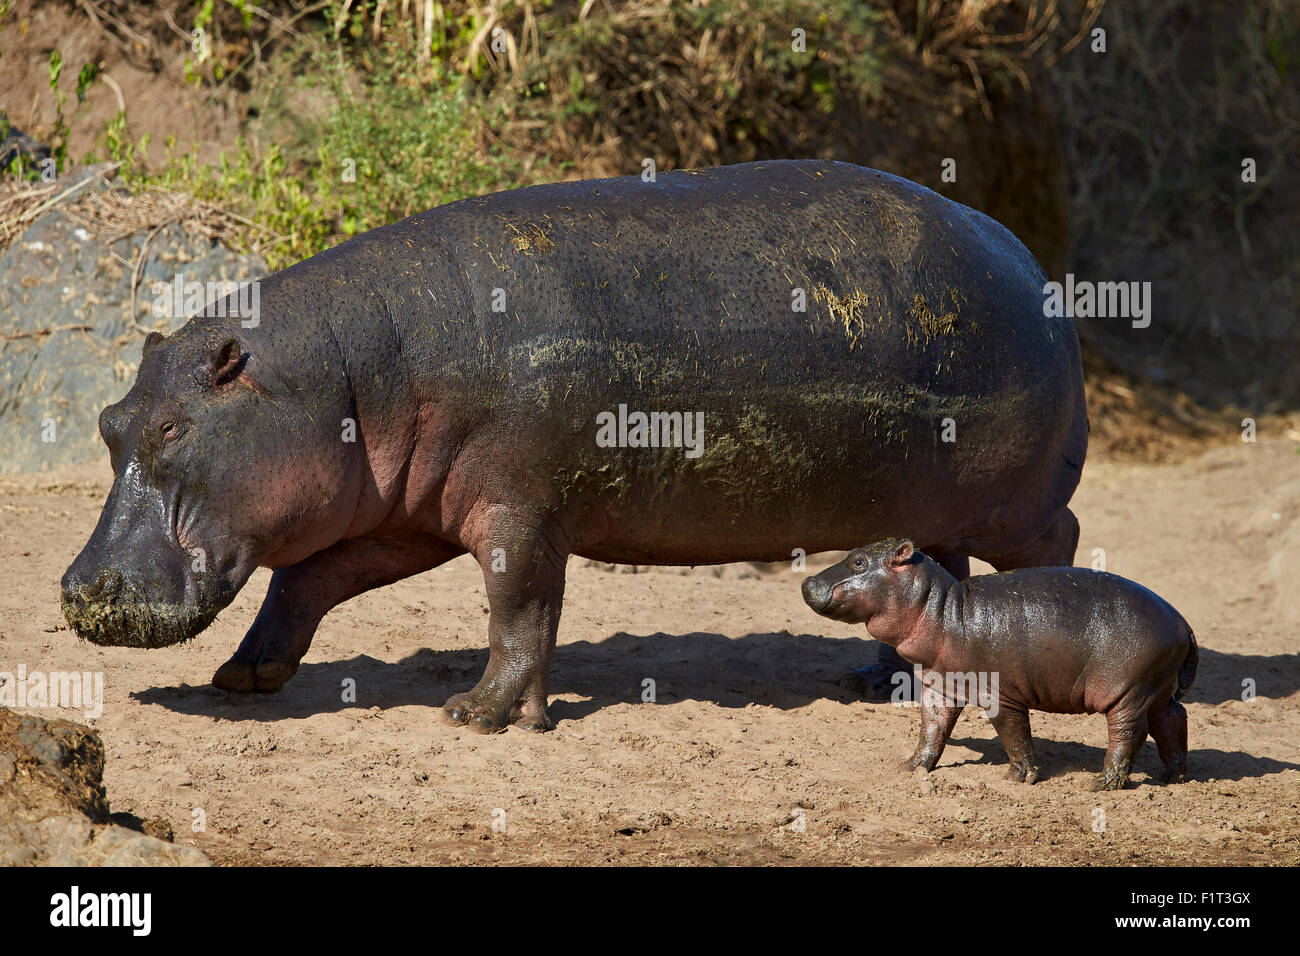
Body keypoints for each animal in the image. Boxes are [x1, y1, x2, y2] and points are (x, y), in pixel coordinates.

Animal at [58, 162, 1086, 733]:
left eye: (174, 428)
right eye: (109, 422)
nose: (80, 590)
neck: (350, 371)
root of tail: (1031, 261)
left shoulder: (519, 510)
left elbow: (517, 609)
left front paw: (476, 717)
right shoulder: (403, 512)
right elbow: (308, 581)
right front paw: (244, 676)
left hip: (1022, 508)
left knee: (1054, 548)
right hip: (935, 504)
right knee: (938, 564)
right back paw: (880, 680)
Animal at [800, 538, 1196, 790]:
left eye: (858, 561)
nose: (806, 580)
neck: (941, 609)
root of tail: (1183, 623)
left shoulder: (1000, 695)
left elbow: (1014, 736)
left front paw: (1018, 779)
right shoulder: (939, 686)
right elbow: (932, 728)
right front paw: (911, 768)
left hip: (1127, 691)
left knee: (1128, 734)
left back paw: (1100, 784)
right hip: (1157, 689)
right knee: (1172, 718)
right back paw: (1174, 777)